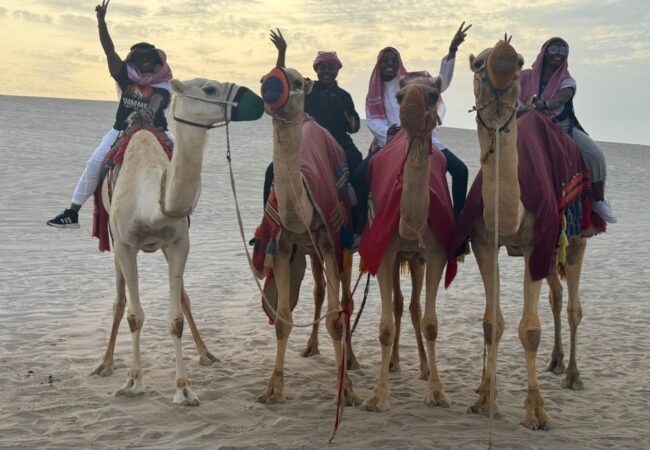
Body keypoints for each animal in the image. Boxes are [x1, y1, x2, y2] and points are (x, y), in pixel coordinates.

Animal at [97, 78, 263, 405]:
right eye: (209, 89)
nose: (260, 100)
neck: (150, 200)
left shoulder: (178, 244)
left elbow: (176, 318)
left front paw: (184, 388)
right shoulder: (125, 245)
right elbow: (134, 315)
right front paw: (133, 382)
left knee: (183, 298)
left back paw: (206, 353)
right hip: (114, 242)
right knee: (119, 301)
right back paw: (105, 364)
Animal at [258, 67, 358, 405]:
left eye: (298, 82)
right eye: (264, 78)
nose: (270, 87)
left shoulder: (329, 242)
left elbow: (335, 319)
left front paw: (347, 390)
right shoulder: (283, 244)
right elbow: (282, 320)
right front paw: (273, 387)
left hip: (342, 247)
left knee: (345, 298)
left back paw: (352, 360)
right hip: (309, 252)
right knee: (318, 291)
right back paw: (311, 346)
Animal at [359, 75, 457, 412]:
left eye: (433, 94)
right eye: (400, 96)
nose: (409, 114)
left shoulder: (436, 255)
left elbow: (430, 323)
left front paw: (437, 391)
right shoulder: (385, 253)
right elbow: (385, 328)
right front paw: (378, 395)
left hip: (417, 260)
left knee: (413, 307)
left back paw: (424, 367)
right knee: (401, 305)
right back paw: (393, 363)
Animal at [465, 40, 590, 429]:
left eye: (520, 61)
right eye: (476, 64)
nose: (502, 55)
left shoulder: (537, 242)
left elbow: (530, 330)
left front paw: (536, 411)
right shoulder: (483, 242)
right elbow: (492, 323)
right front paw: (483, 398)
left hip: (576, 239)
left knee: (574, 306)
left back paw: (573, 375)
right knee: (556, 296)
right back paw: (556, 362)